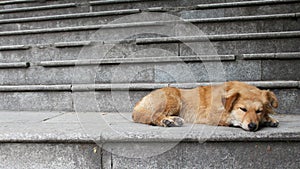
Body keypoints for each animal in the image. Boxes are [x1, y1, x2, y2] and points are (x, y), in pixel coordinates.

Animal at [132, 81, 280, 131]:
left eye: (259, 111)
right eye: (243, 109)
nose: (252, 126)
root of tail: (139, 103)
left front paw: (268, 118)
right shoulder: (210, 115)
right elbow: (229, 119)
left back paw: (174, 120)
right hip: (173, 97)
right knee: (154, 115)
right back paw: (167, 121)